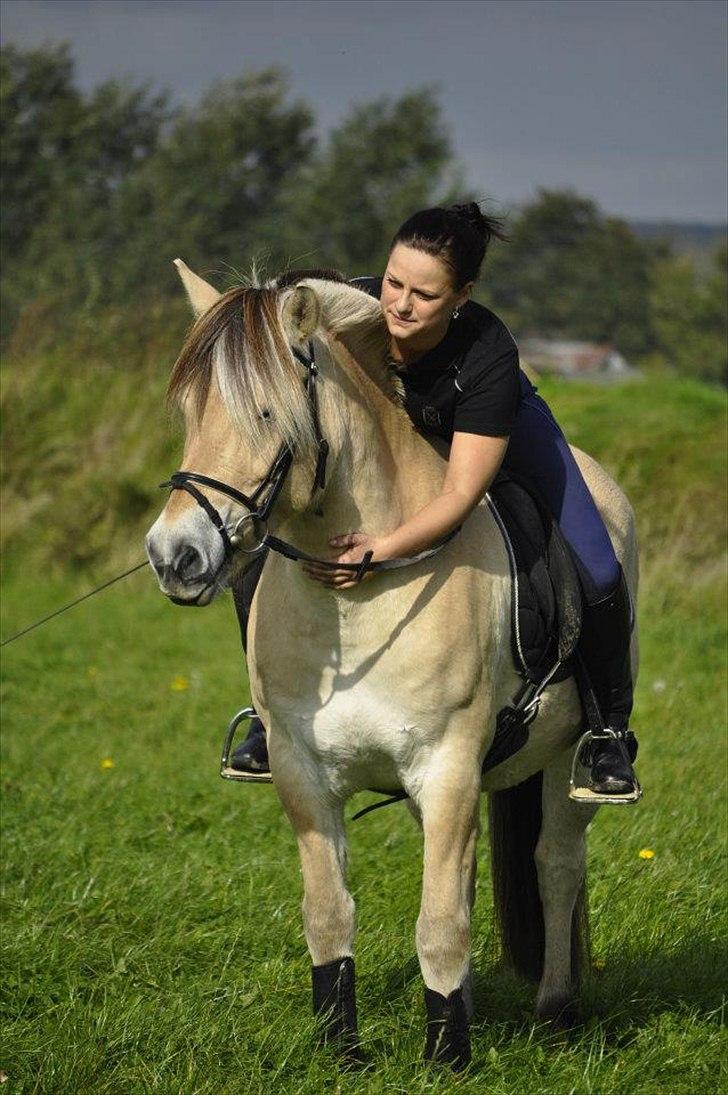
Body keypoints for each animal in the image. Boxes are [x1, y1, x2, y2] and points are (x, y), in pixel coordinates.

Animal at [143, 262, 634, 1068]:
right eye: (189, 409)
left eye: (268, 414)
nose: (174, 557)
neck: (356, 604)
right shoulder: (305, 774)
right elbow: (330, 914)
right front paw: (342, 1046)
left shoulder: (448, 765)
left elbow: (440, 922)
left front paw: (447, 1057)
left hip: (565, 760)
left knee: (557, 865)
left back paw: (556, 1010)